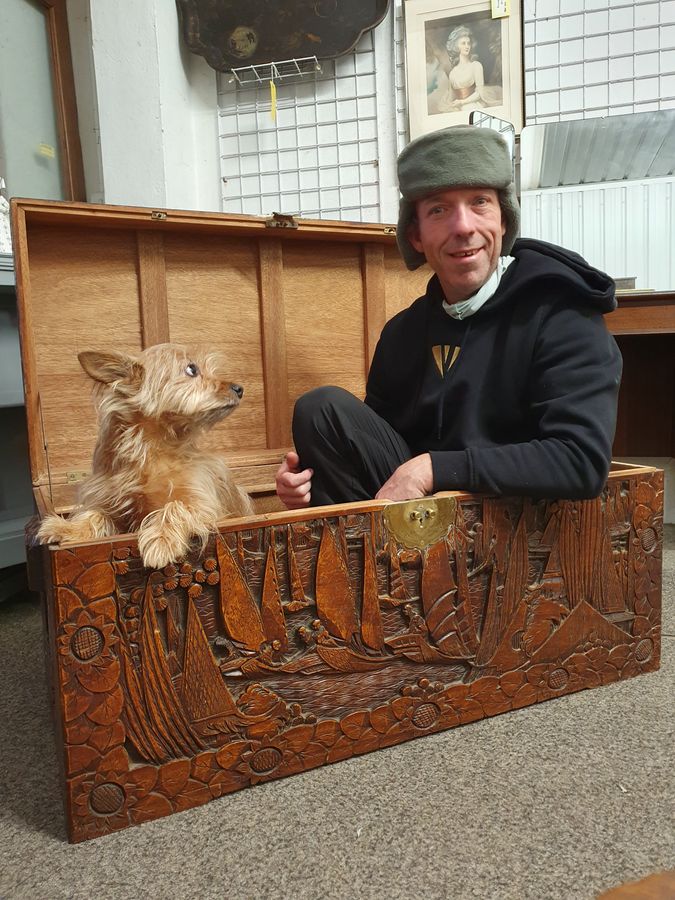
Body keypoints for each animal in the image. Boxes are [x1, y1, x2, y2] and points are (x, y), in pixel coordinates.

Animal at [37, 344, 254, 568]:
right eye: (192, 369)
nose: (239, 388)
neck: (151, 452)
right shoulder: (111, 505)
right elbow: (94, 514)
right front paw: (66, 528)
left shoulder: (206, 506)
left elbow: (174, 506)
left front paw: (161, 539)